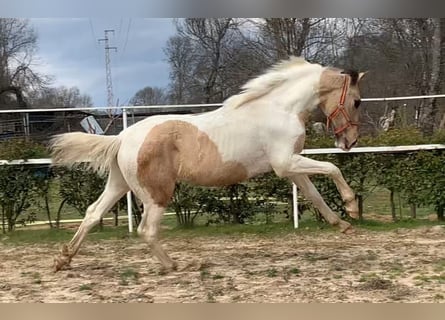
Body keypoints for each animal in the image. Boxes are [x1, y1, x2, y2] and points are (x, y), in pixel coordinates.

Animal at [50, 56, 366, 272]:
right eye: (357, 101)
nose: (350, 141)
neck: (279, 109)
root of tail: (123, 137)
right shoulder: (286, 162)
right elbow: (333, 168)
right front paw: (351, 207)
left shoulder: (291, 168)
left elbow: (315, 195)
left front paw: (343, 226)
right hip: (156, 194)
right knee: (146, 230)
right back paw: (174, 265)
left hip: (119, 184)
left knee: (93, 214)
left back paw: (63, 259)